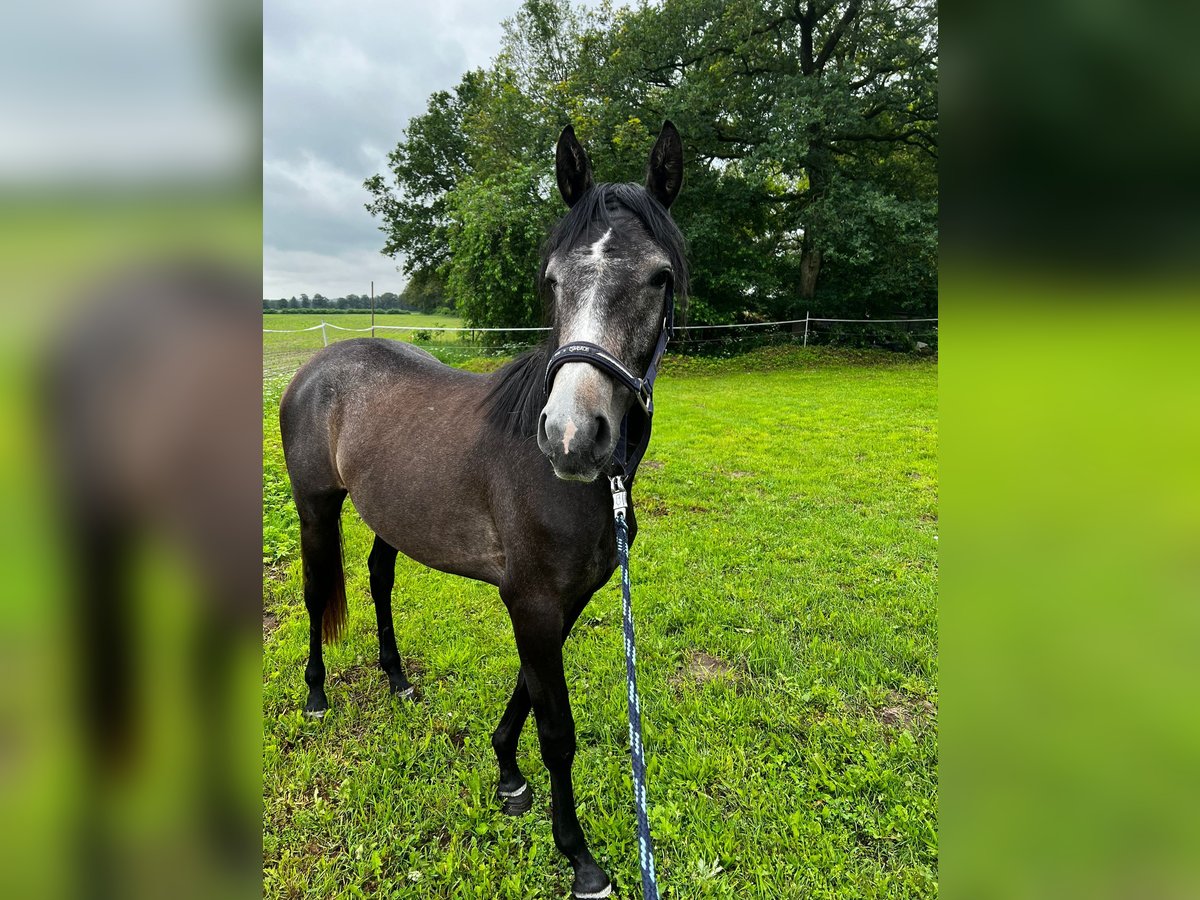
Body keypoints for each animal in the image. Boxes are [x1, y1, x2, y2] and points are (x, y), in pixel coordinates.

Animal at [278, 121, 686, 900]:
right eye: (552, 279)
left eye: (660, 278)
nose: (572, 435)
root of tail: (317, 368)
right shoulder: (531, 600)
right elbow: (557, 729)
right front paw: (580, 856)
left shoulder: (566, 599)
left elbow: (527, 692)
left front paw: (506, 774)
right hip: (315, 507)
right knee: (317, 593)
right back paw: (315, 695)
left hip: (389, 517)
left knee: (379, 580)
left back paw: (397, 679)